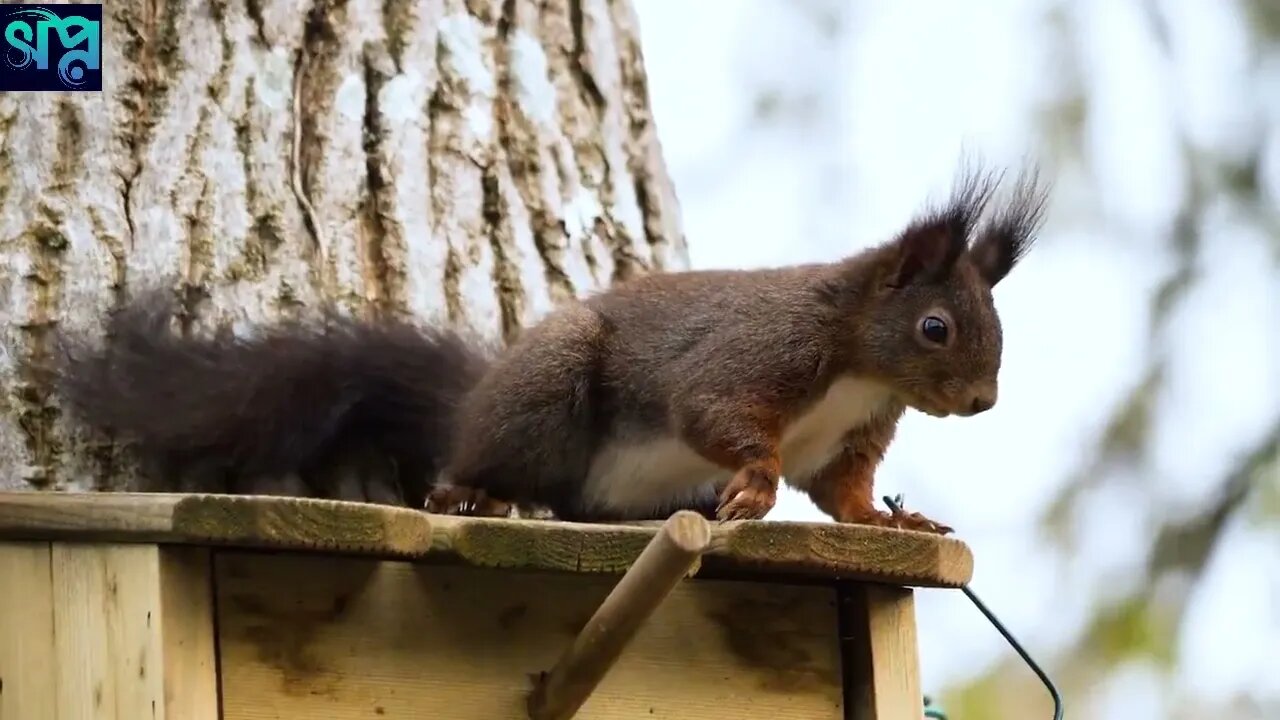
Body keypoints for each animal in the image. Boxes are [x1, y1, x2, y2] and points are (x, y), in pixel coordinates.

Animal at [49, 163, 1049, 532]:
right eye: (935, 328)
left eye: (1000, 331)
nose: (983, 402)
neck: (856, 364)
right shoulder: (762, 352)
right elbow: (711, 412)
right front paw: (756, 485)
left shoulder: (850, 436)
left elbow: (842, 495)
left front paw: (895, 520)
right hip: (546, 395)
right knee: (481, 462)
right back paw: (467, 493)